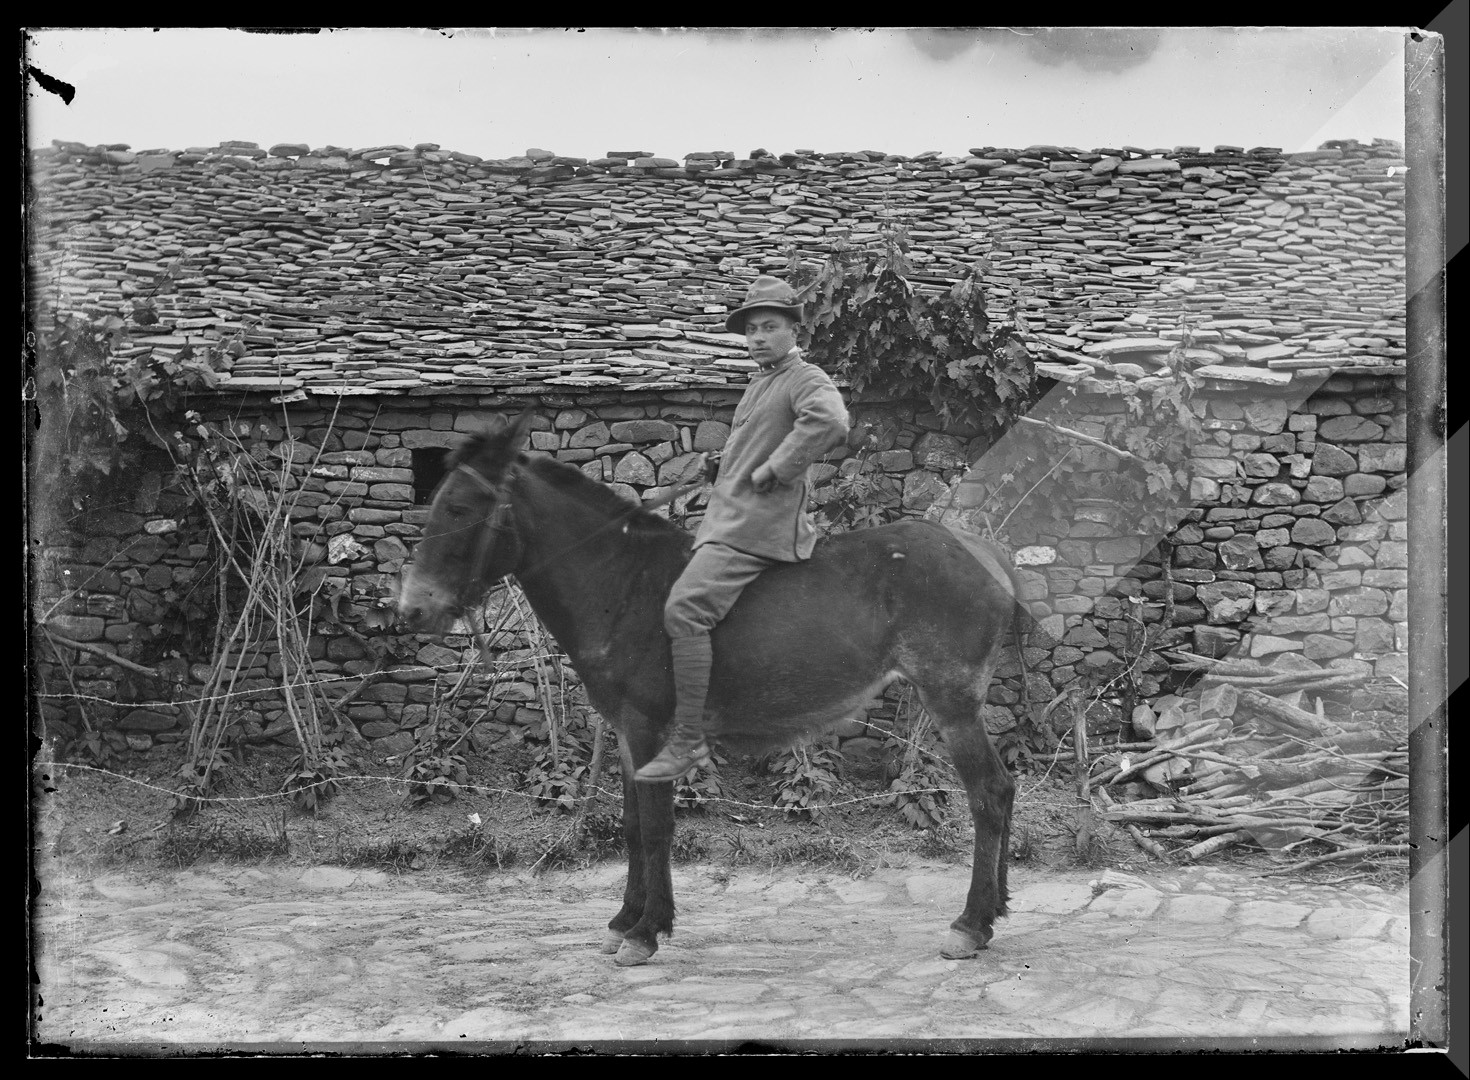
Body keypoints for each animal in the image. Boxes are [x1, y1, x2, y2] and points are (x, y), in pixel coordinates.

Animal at [397, 412, 1022, 967]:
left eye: (459, 508)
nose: (412, 609)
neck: (623, 584)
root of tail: (980, 552)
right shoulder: (627, 733)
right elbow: (631, 825)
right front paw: (625, 920)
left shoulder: (649, 728)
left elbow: (655, 827)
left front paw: (646, 932)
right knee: (1004, 789)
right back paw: (994, 912)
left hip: (951, 702)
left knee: (988, 793)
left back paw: (970, 924)